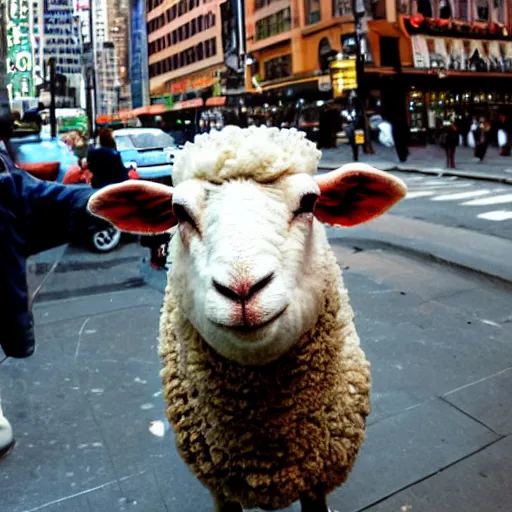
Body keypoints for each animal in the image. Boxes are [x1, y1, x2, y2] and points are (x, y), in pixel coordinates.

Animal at [88, 127, 408, 512]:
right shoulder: (221, 488)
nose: (242, 289)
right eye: (179, 212)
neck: (266, 458)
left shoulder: (316, 481)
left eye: (309, 203)